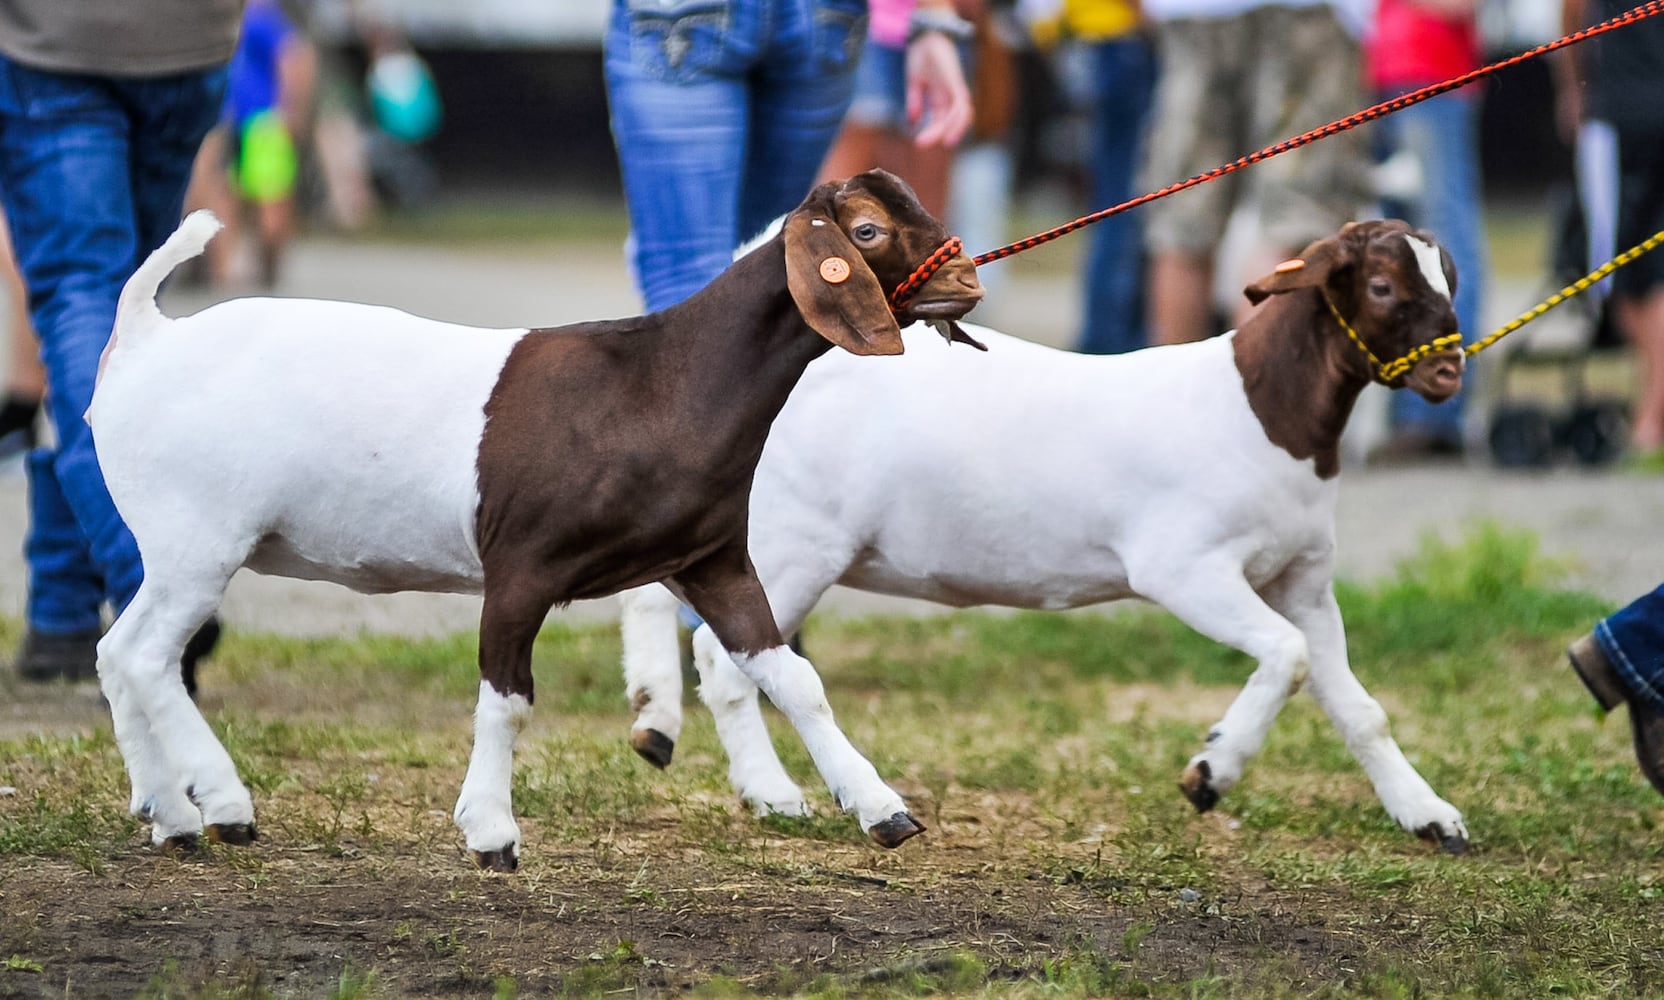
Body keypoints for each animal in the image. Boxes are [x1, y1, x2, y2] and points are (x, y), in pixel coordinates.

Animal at [84, 169, 978, 865]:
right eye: (867, 229)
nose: (967, 278)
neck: (661, 382)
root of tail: (144, 338)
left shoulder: (712, 558)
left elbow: (793, 678)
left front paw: (882, 810)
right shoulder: (521, 565)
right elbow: (508, 697)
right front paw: (490, 832)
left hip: (176, 546)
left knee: (118, 653)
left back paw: (171, 815)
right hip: (199, 537)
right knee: (147, 657)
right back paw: (224, 805)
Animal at [622, 216, 1470, 848]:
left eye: (1450, 280)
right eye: (1383, 286)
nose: (1449, 373)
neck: (1265, 412)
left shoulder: (1304, 581)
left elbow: (1357, 705)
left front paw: (1430, 817)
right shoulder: (1187, 568)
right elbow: (1288, 657)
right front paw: (1209, 775)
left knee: (655, 594)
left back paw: (656, 719)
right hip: (794, 542)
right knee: (726, 654)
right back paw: (771, 791)